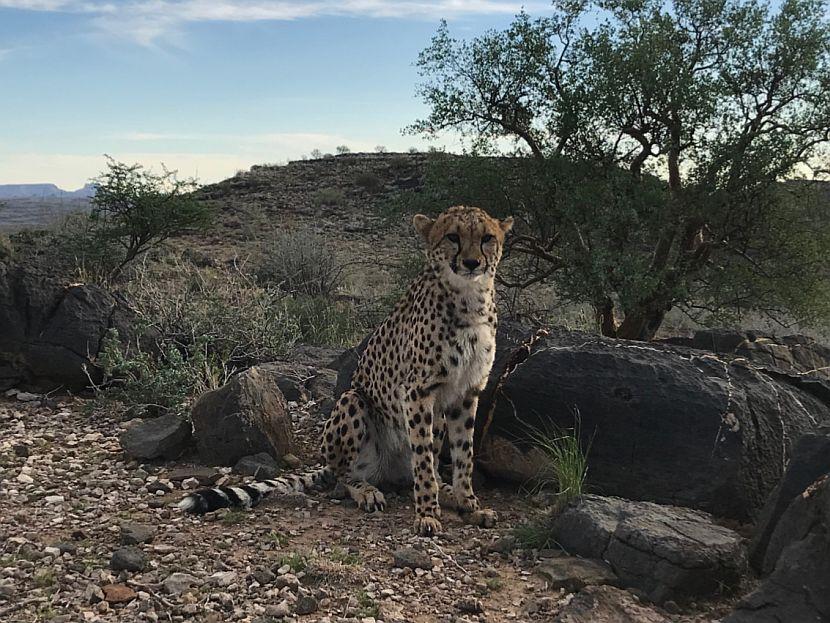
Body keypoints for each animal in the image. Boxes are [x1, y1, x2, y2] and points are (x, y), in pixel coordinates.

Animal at [179, 206, 510, 536]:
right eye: (452, 237)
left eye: (487, 238)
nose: (472, 262)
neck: (470, 299)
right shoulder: (417, 390)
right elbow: (424, 461)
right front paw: (427, 514)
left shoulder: (466, 392)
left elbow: (463, 454)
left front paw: (469, 505)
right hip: (353, 400)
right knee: (344, 474)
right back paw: (366, 491)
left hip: (434, 417)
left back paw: (446, 492)